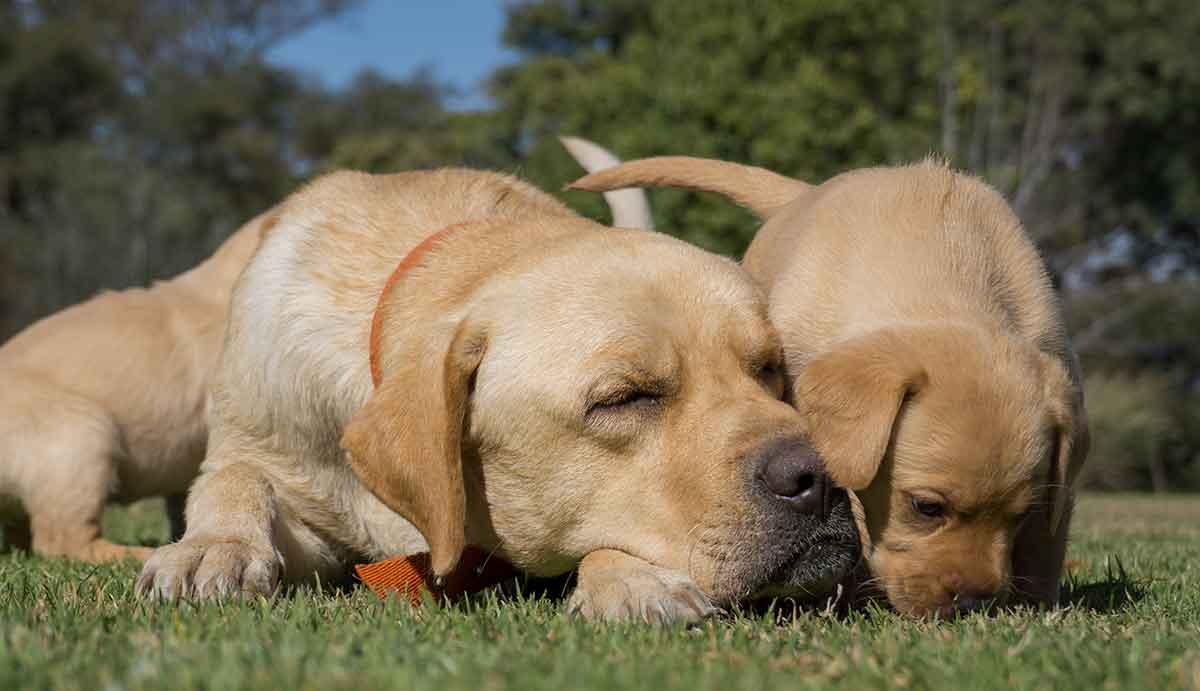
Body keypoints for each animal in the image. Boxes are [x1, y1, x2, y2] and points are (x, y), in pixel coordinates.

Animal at [136, 165, 859, 619]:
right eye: (623, 398)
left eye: (769, 369)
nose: (820, 475)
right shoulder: (295, 492)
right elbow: (235, 479)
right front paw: (213, 548)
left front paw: (631, 576)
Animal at [571, 153, 1089, 619]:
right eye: (926, 507)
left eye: (1022, 514)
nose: (974, 605)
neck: (946, 279)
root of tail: (803, 192)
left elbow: (1048, 538)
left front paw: (1034, 606)